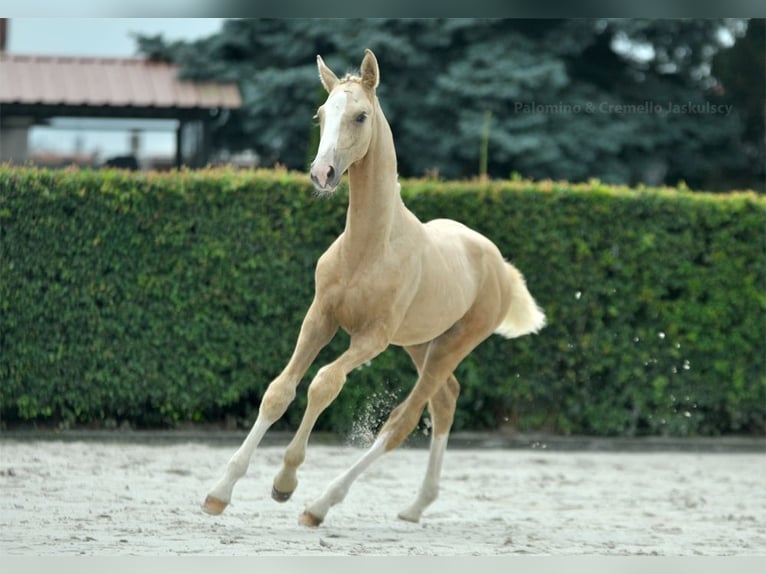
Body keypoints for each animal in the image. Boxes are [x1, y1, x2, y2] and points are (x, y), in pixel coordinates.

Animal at [204, 49, 544, 532]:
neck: (368, 248)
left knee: (404, 420)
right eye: (321, 114)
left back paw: (321, 504)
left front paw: (286, 482)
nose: (322, 173)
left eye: (361, 115)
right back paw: (415, 506)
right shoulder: (320, 317)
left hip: (454, 344)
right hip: (422, 344)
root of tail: (500, 266)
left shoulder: (372, 338)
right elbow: (279, 391)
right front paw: (219, 492)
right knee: (445, 400)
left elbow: (324, 384)